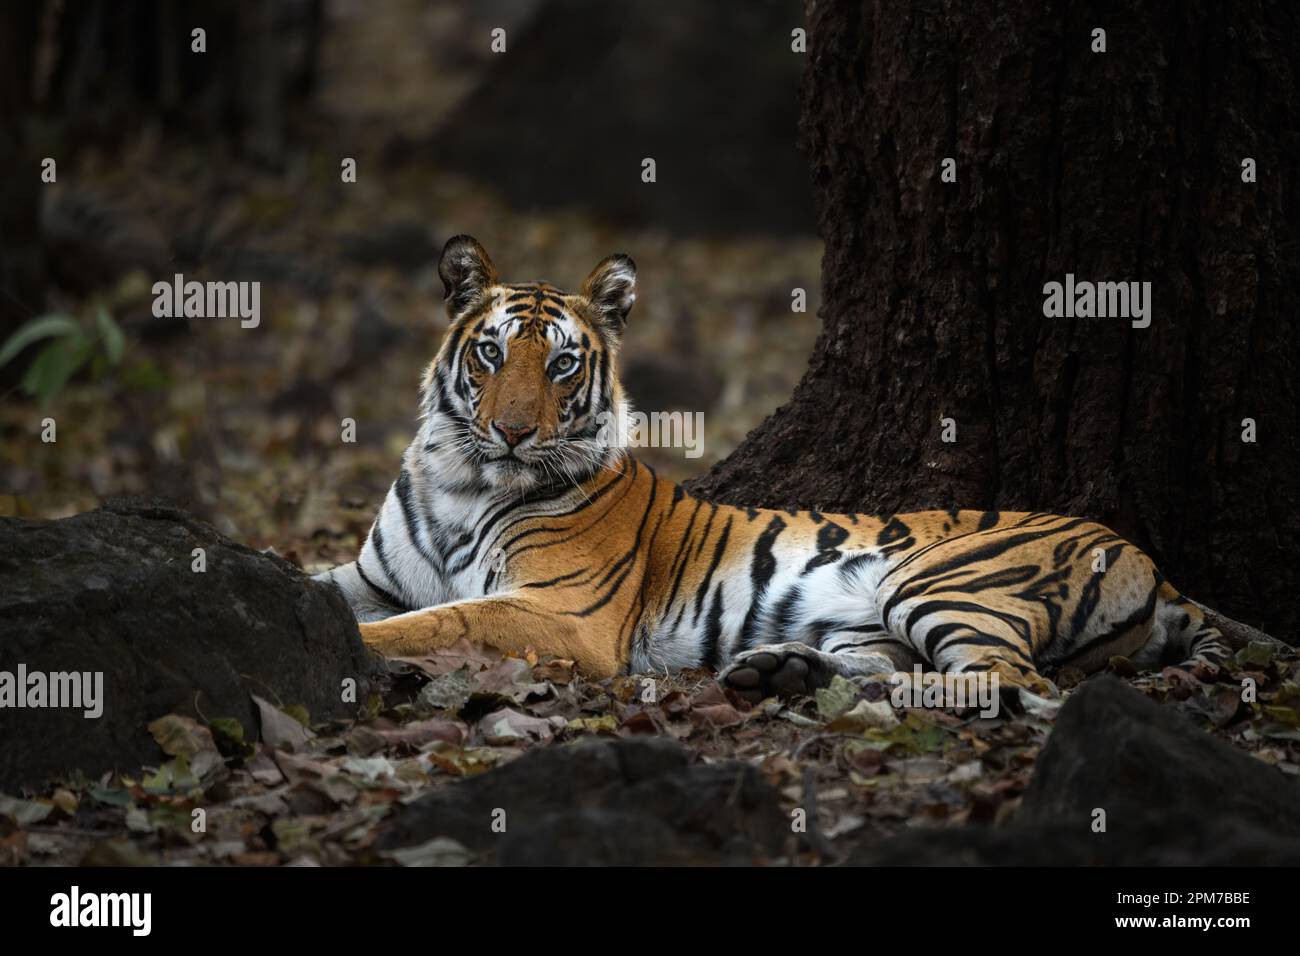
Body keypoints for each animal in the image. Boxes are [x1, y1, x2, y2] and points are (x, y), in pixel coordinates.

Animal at [317, 235, 1227, 702]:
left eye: (563, 366)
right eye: (492, 353)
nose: (510, 432)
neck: (463, 482)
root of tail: (1156, 566)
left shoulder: (560, 611)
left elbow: (439, 622)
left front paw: (359, 646)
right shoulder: (378, 575)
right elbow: (328, 586)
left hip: (944, 580)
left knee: (1010, 682)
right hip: (875, 620)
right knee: (902, 664)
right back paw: (778, 669)